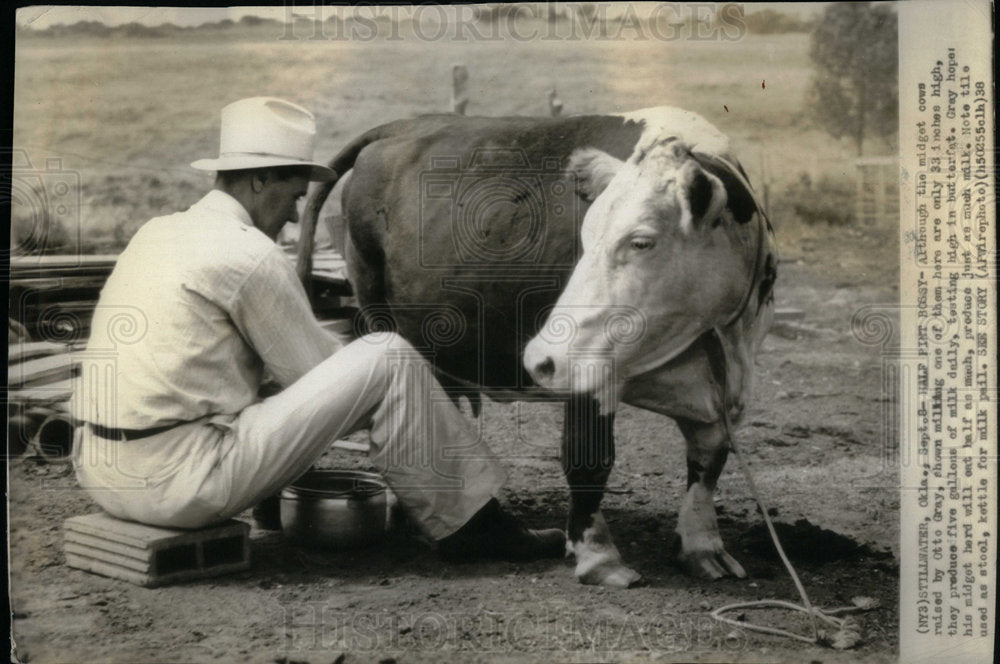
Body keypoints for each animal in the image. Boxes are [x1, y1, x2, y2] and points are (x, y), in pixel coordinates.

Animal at [298, 106, 780, 588]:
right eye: (586, 234)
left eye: (641, 240)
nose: (536, 359)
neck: (715, 340)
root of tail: (401, 126)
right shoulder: (586, 371)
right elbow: (589, 459)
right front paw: (597, 556)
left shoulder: (725, 386)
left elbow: (709, 461)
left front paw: (703, 548)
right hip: (379, 313)